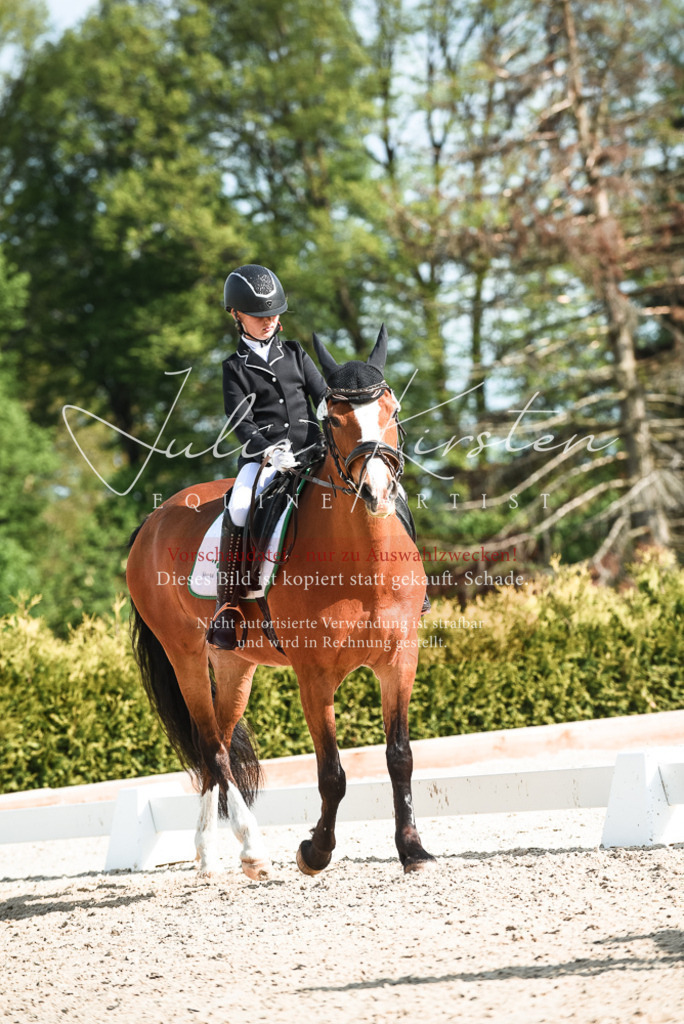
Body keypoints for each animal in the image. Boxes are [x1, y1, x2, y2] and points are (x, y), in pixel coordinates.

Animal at [126, 326, 434, 877]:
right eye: (333, 416)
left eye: (392, 407)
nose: (376, 491)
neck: (362, 564)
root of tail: (153, 520)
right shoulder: (313, 675)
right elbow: (331, 771)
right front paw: (315, 851)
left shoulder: (400, 659)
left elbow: (400, 755)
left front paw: (412, 849)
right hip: (184, 654)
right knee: (212, 747)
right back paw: (250, 850)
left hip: (234, 663)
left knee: (217, 744)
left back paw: (208, 854)